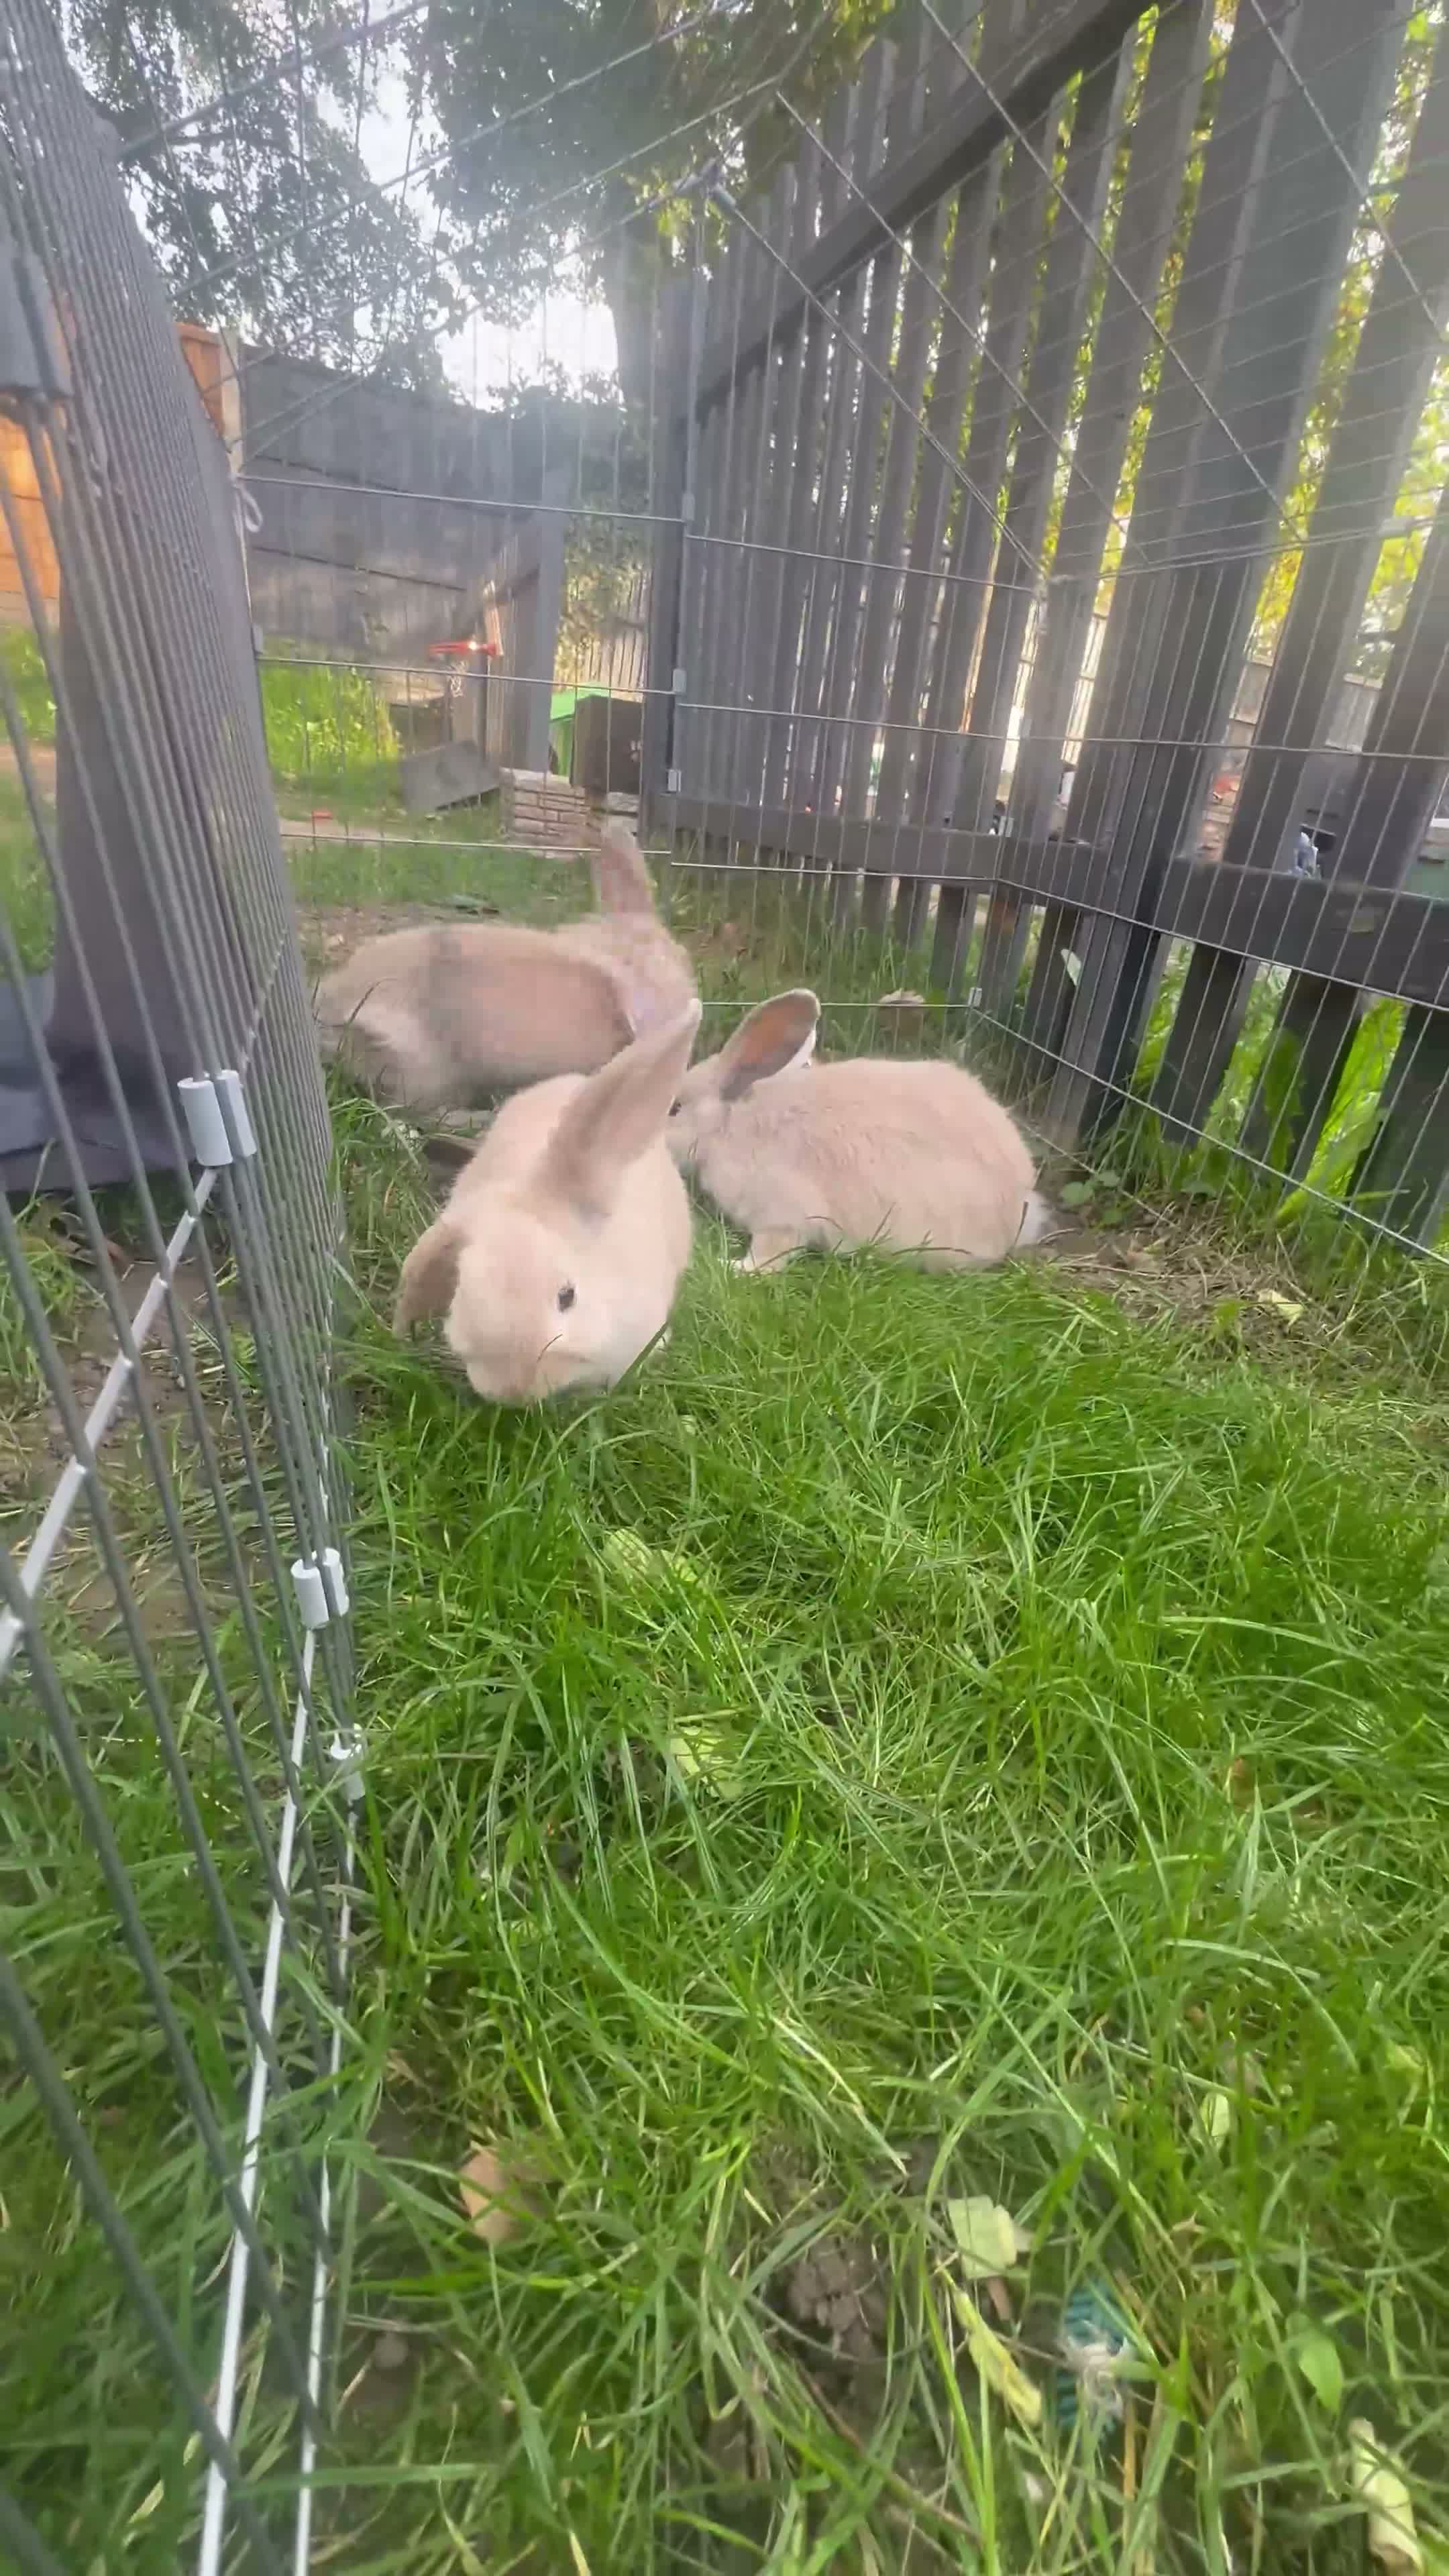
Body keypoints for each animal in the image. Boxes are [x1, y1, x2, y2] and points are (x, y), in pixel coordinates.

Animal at [667, 989, 1050, 1273]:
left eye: (674, 1109)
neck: (727, 1125)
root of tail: (1022, 1201)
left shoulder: (781, 1215)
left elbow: (770, 1255)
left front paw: (731, 1266)